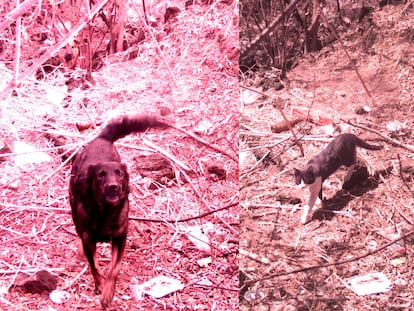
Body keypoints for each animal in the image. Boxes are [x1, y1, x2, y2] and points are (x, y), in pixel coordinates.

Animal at [68, 114, 169, 308]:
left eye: (119, 174)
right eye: (100, 175)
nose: (113, 187)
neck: (105, 212)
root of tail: (101, 138)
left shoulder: (121, 235)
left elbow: (115, 267)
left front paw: (107, 292)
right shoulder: (89, 238)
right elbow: (94, 265)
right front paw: (100, 285)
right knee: (77, 229)